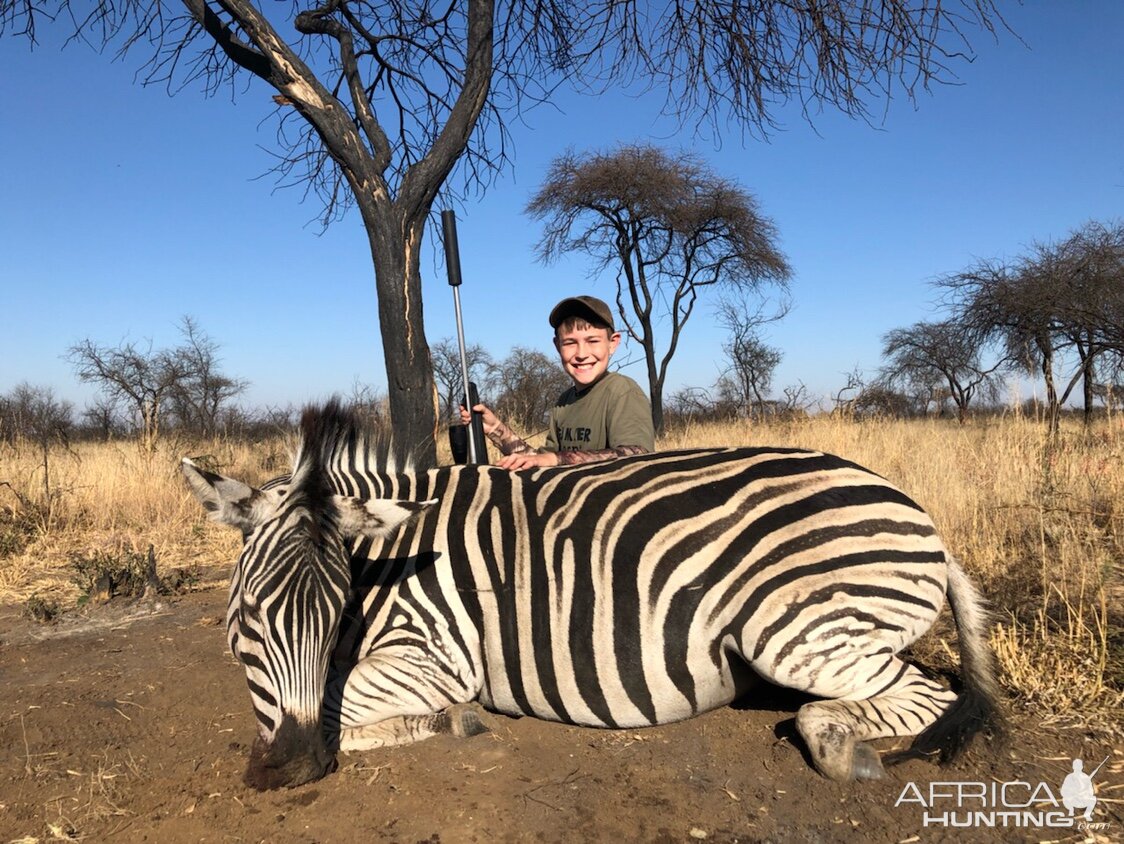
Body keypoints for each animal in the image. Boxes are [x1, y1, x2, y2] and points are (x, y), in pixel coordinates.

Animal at [184, 402, 1002, 791]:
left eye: (334, 610)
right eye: (248, 616)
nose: (288, 770)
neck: (392, 562)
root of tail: (919, 513)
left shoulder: (436, 653)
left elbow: (335, 707)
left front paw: (451, 720)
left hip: (791, 628)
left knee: (922, 696)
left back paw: (840, 745)